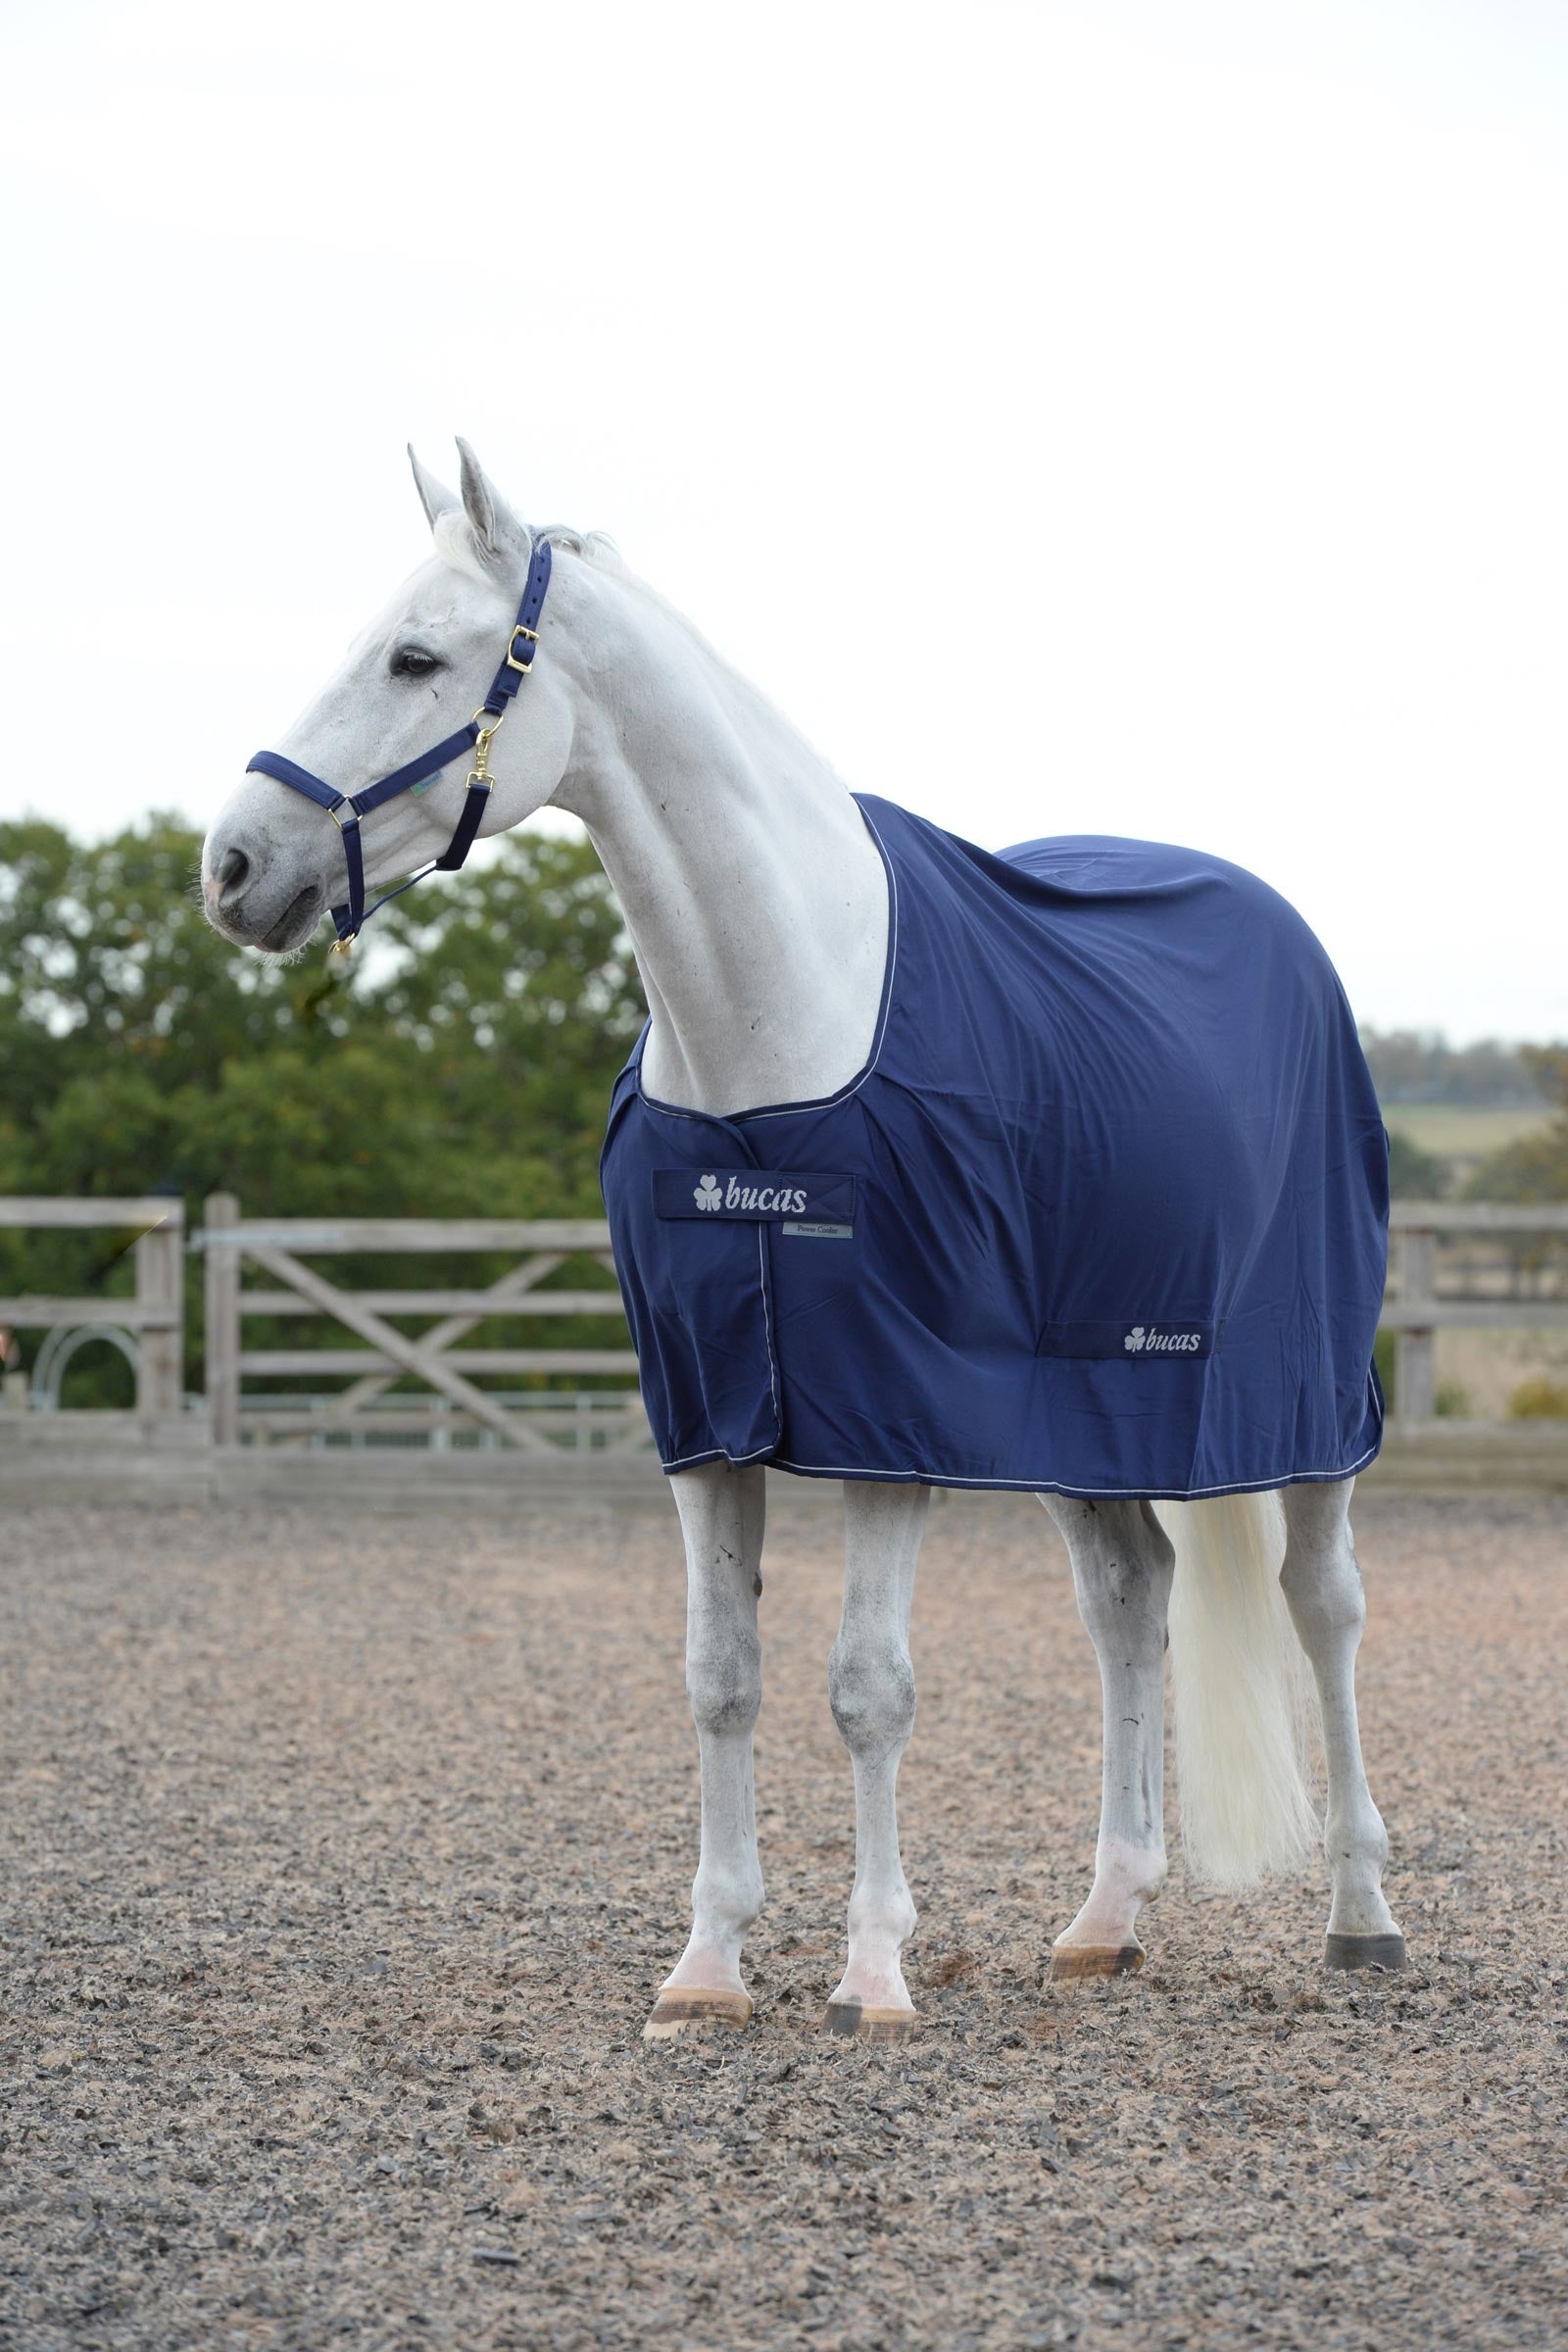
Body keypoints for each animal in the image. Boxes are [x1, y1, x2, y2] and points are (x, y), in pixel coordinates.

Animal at [202, 441, 1404, 2041]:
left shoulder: (892, 1420)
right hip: (1083, 1415)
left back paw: (1361, 1915)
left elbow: (867, 1687)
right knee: (1129, 1604)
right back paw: (1103, 1920)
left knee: (1322, 1610)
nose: (232, 864)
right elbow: (722, 1677)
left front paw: (874, 1974)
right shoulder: (709, 1417)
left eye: (414, 656)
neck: (772, 1044)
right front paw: (707, 1967)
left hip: (1303, 1402)